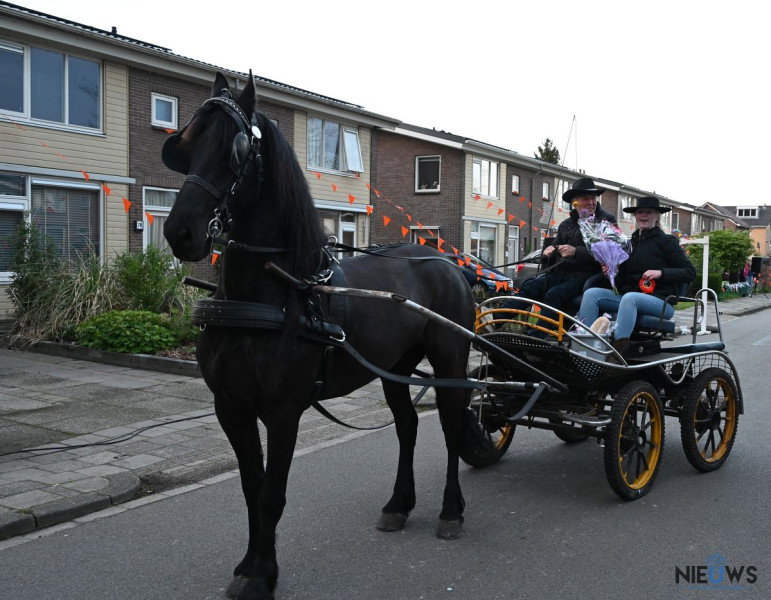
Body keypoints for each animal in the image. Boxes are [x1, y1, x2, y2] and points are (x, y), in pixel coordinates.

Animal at [162, 72, 476, 600]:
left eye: (236, 149)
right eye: (185, 143)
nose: (180, 230)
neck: (272, 292)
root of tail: (446, 259)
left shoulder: (284, 410)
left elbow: (272, 494)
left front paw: (263, 576)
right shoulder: (231, 407)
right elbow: (250, 487)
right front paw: (248, 566)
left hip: (451, 361)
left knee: (452, 428)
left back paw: (452, 511)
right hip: (394, 368)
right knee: (408, 427)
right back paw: (398, 504)